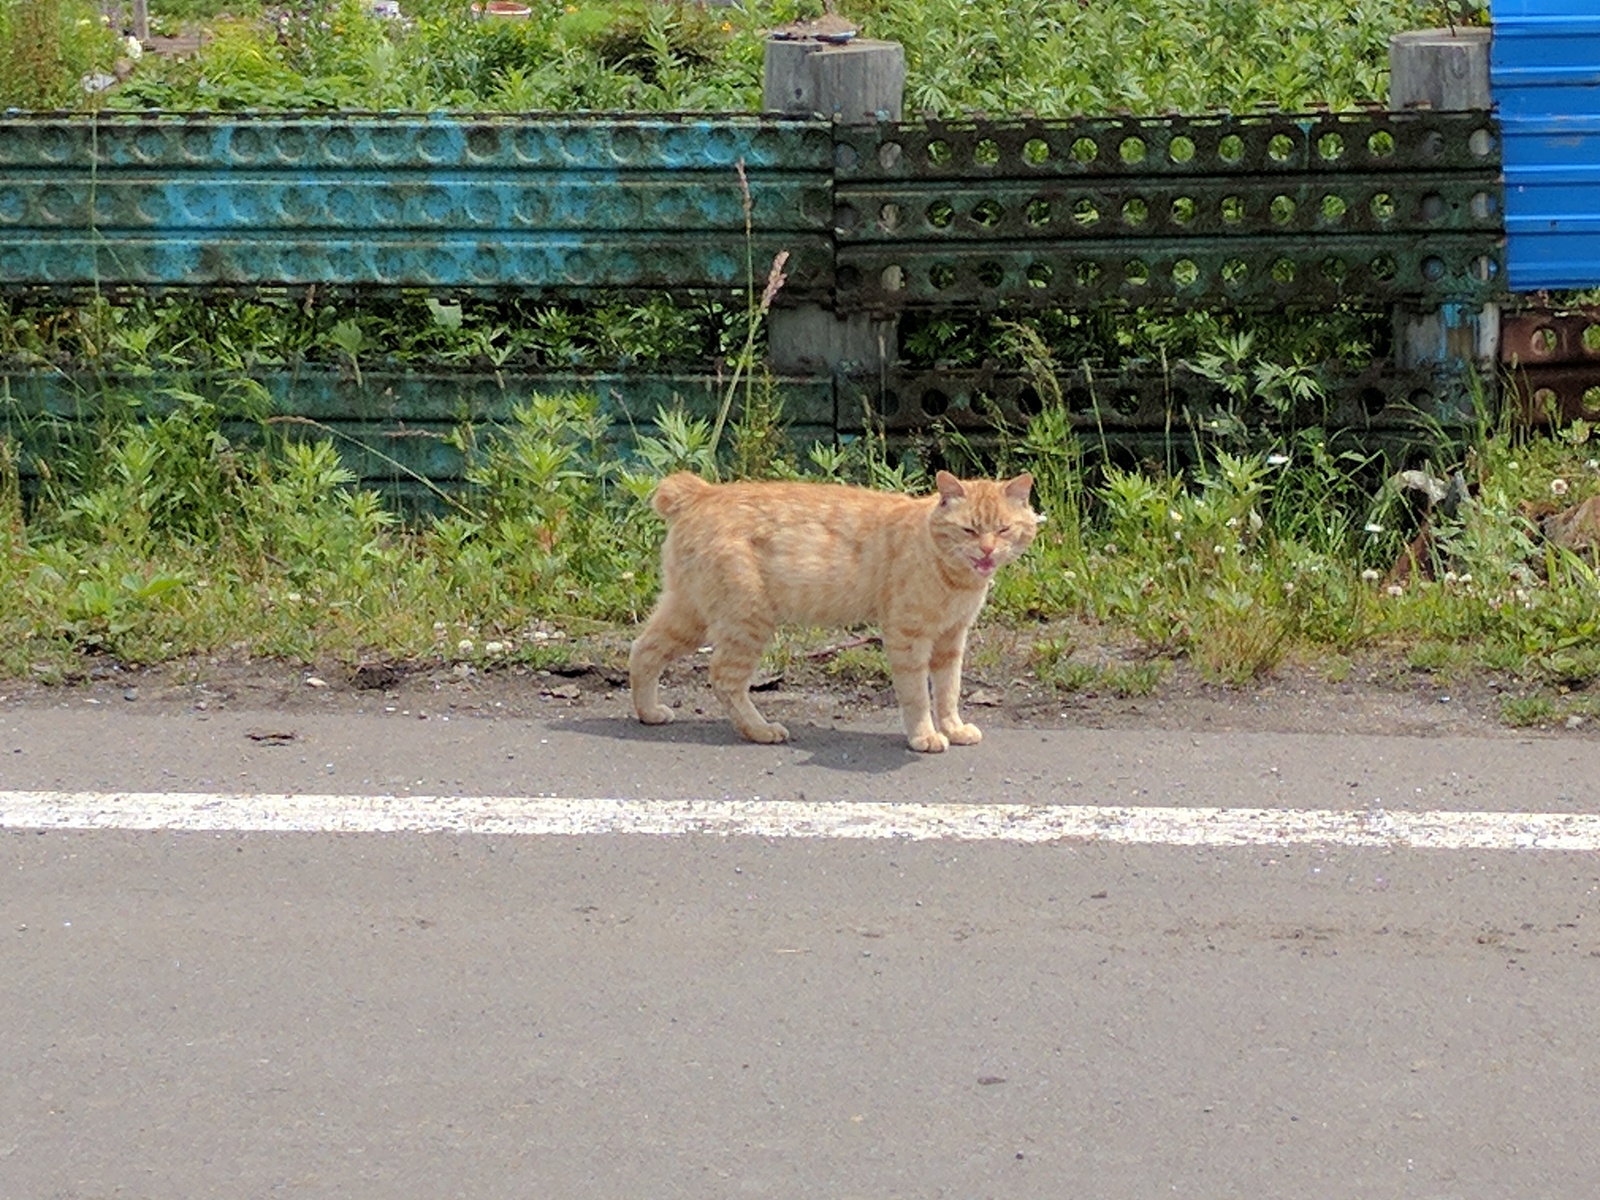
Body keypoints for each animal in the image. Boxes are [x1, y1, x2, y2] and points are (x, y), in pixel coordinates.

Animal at [624, 470, 1036, 752]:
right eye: (969, 530)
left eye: (1003, 529)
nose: (987, 550)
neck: (957, 579)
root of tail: (702, 491)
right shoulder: (908, 637)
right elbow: (918, 694)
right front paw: (924, 735)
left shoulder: (951, 639)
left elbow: (949, 691)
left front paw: (952, 728)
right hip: (747, 623)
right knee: (724, 679)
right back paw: (760, 730)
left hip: (688, 614)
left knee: (643, 649)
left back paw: (649, 712)